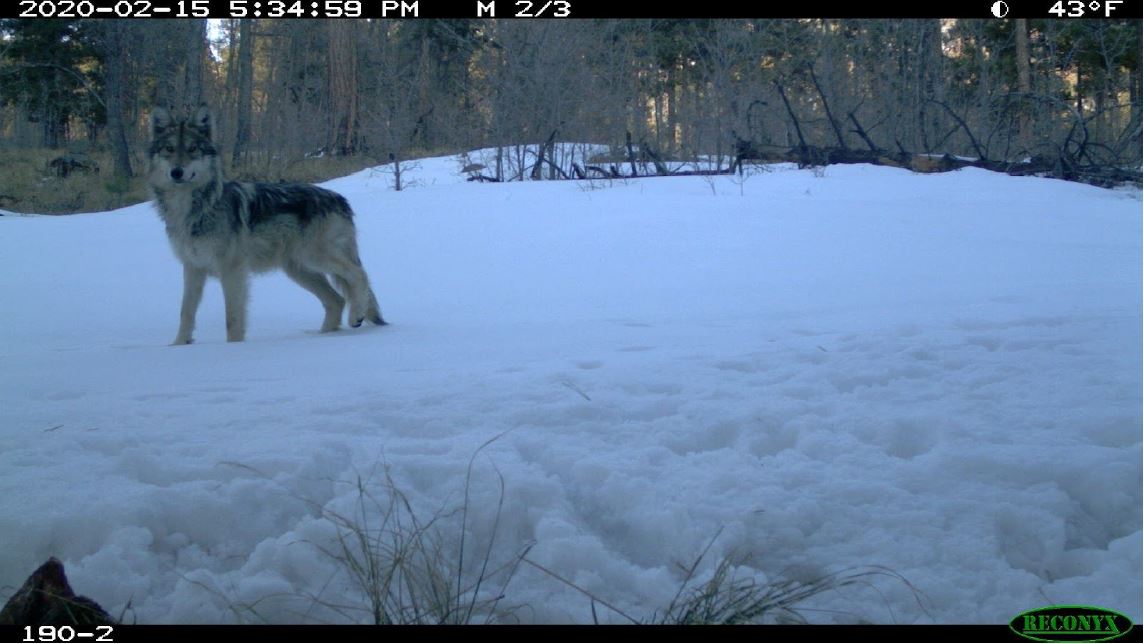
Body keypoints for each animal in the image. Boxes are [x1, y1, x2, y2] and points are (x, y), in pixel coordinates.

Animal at [147, 105, 386, 345]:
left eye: (192, 148)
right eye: (169, 149)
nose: (176, 172)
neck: (193, 208)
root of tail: (340, 199)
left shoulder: (232, 270)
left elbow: (232, 318)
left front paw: (233, 347)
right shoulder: (192, 268)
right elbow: (186, 312)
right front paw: (179, 345)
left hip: (315, 257)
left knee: (359, 275)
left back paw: (356, 316)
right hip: (300, 270)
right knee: (336, 300)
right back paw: (323, 336)